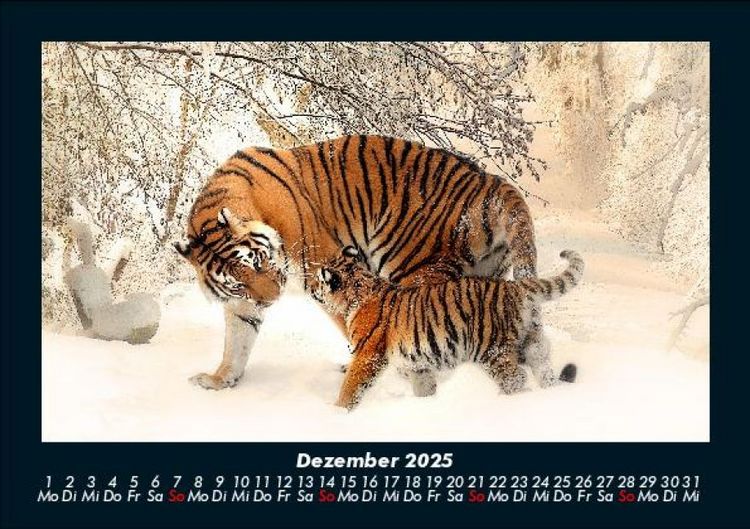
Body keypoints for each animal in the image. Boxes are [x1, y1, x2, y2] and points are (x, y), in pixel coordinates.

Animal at [176, 135, 540, 391]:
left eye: (258, 261)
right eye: (238, 283)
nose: (271, 300)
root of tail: (491, 183)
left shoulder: (324, 267)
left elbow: (353, 322)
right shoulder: (242, 303)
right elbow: (236, 340)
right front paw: (220, 380)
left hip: (414, 267)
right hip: (484, 275)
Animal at [310, 247, 584, 410]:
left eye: (317, 280)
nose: (311, 288)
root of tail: (515, 287)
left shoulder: (367, 355)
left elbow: (351, 386)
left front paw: (337, 412)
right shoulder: (417, 363)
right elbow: (424, 386)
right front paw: (427, 405)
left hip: (492, 350)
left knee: (516, 379)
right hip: (533, 342)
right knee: (544, 370)